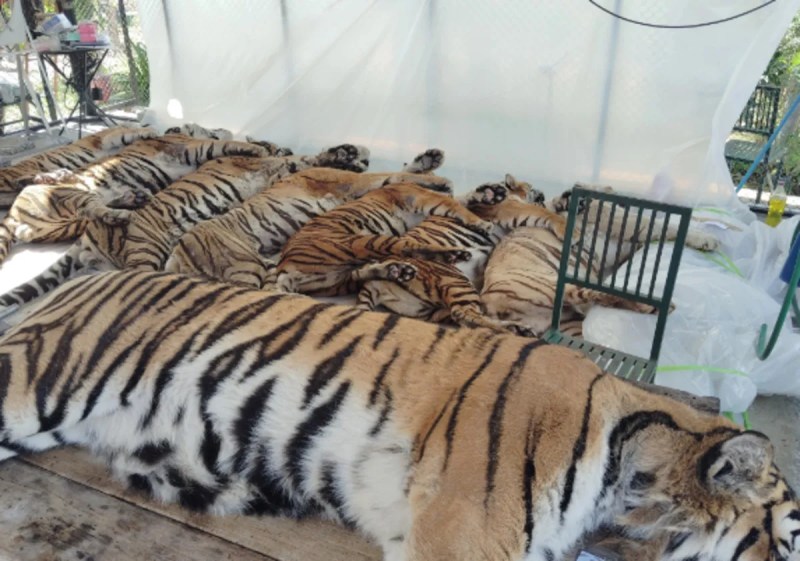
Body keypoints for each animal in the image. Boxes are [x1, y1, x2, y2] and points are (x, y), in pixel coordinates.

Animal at [164, 149, 453, 288]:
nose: (362, 160)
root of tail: (176, 256)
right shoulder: (353, 181)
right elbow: (394, 174)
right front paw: (440, 180)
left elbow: (396, 172)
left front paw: (430, 159)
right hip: (243, 267)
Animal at [274, 181, 495, 296]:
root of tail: (283, 265)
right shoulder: (425, 198)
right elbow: (456, 205)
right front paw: (482, 222)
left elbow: (459, 200)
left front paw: (486, 195)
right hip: (361, 242)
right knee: (409, 247)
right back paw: (455, 254)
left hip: (332, 280)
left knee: (361, 273)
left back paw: (398, 271)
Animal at [479, 184, 722, 336]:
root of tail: (487, 301)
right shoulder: (629, 225)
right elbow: (667, 226)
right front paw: (708, 239)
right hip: (554, 284)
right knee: (601, 295)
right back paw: (656, 307)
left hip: (567, 321)